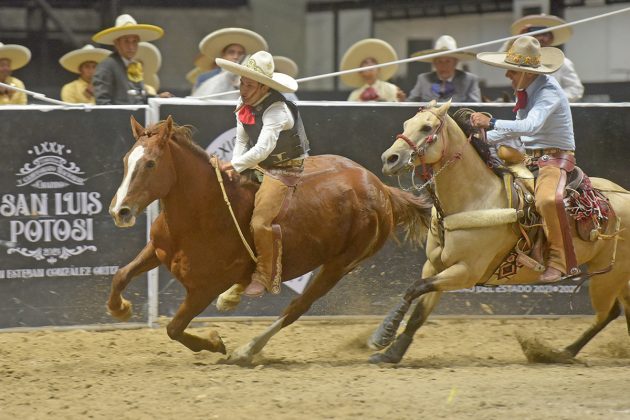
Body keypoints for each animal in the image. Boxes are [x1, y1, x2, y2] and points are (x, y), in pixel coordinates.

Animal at [110, 115, 434, 364]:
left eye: (151, 164)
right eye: (126, 160)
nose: (119, 210)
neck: (203, 212)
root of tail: (381, 189)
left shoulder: (203, 289)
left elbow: (174, 328)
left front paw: (215, 342)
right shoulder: (156, 250)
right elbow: (121, 274)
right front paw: (121, 308)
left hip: (339, 265)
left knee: (296, 308)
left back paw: (246, 350)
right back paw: (234, 297)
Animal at [370, 101, 630, 364]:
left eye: (426, 127)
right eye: (406, 124)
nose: (389, 158)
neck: (475, 197)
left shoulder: (465, 273)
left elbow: (415, 288)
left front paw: (383, 334)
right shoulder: (434, 266)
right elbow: (419, 311)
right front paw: (391, 352)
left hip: (608, 276)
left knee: (606, 314)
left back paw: (560, 352)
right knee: (618, 311)